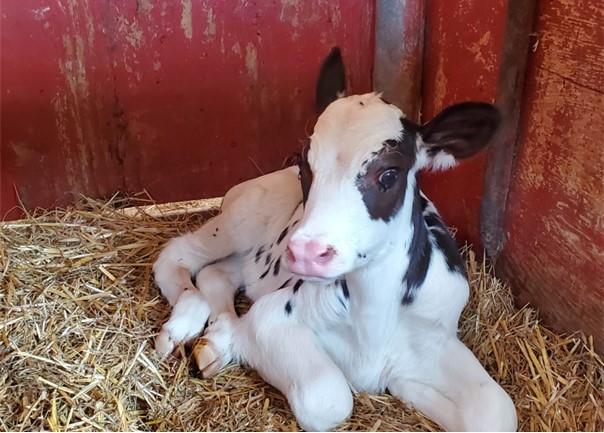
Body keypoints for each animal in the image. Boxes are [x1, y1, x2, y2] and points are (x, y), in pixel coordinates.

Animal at [153, 49, 516, 430]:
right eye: (304, 163)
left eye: (390, 174)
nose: (306, 252)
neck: (373, 320)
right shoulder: (273, 317)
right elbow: (327, 398)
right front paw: (227, 337)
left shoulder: (436, 335)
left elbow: (495, 411)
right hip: (240, 220)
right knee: (178, 255)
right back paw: (186, 323)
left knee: (217, 274)